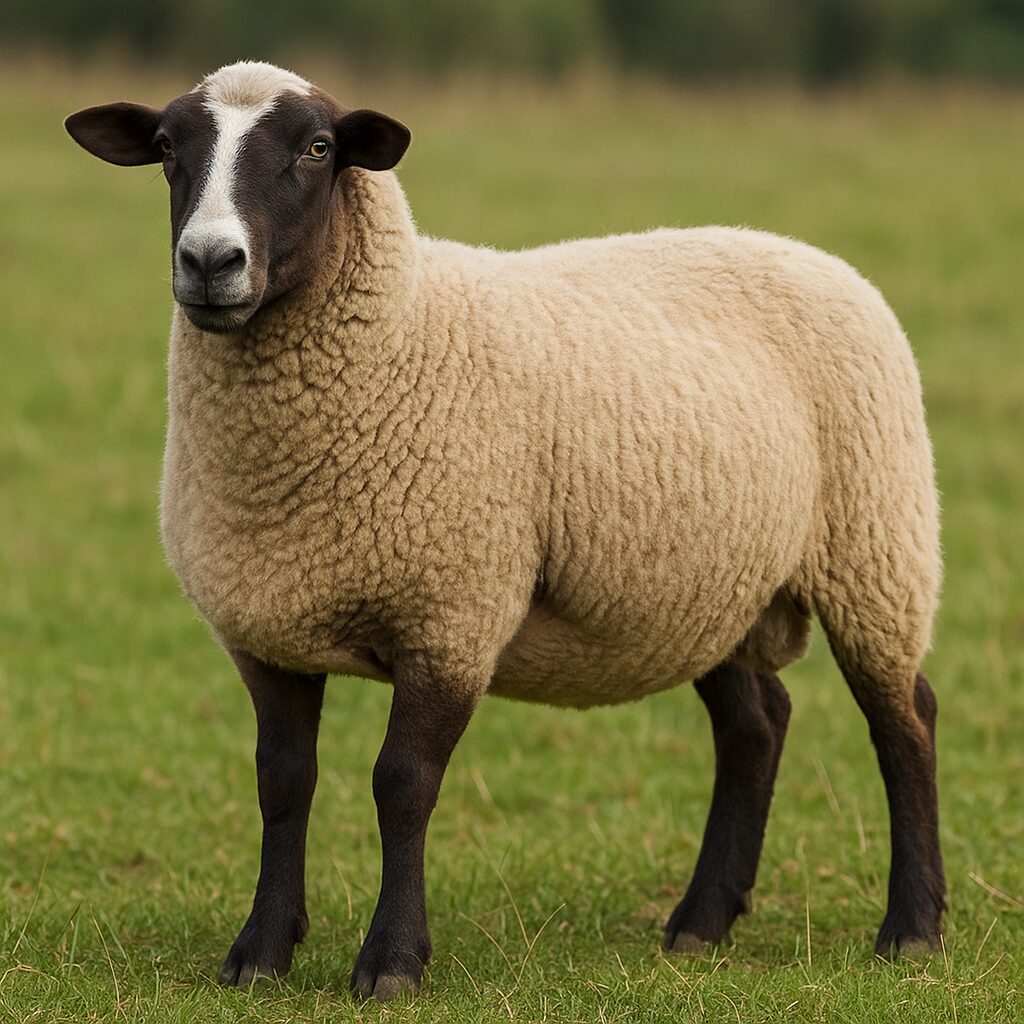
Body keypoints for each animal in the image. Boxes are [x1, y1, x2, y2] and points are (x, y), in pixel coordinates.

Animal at [65, 60, 945, 1002]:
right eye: (166, 149)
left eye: (318, 147)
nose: (209, 261)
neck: (403, 329)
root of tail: (806, 251)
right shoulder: (267, 626)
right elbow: (282, 781)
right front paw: (259, 953)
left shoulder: (452, 613)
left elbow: (402, 785)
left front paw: (392, 964)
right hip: (709, 585)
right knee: (755, 724)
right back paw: (700, 923)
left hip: (875, 545)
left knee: (905, 722)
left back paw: (912, 929)